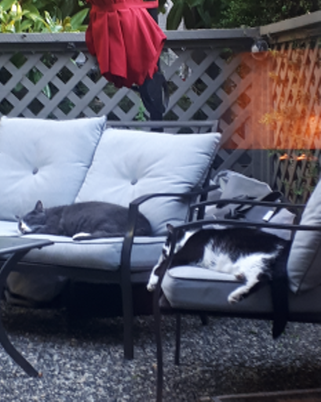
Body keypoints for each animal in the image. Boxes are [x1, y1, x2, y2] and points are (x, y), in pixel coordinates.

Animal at [16, 200, 152, 240]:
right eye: (19, 224)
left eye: (30, 218)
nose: (21, 227)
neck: (48, 214)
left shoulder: (54, 225)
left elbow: (39, 230)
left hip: (103, 220)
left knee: (105, 233)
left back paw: (80, 235)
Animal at [147, 225, 284, 304]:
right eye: (164, 251)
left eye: (169, 245)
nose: (166, 253)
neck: (189, 236)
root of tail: (285, 243)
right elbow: (159, 265)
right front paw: (152, 283)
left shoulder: (188, 253)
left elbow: (158, 267)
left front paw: (153, 281)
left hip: (258, 258)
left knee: (260, 279)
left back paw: (236, 295)